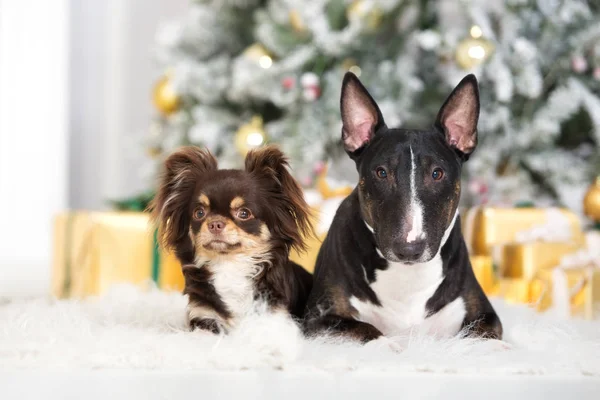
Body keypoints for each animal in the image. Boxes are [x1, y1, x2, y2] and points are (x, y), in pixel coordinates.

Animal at [150, 145, 314, 332]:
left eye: (244, 213)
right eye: (199, 213)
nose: (215, 223)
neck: (229, 263)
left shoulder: (273, 316)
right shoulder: (204, 317)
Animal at [304, 72, 502, 344]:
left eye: (437, 173)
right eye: (381, 172)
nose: (409, 249)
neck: (407, 277)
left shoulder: (485, 314)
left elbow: (481, 335)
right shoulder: (318, 320)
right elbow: (366, 329)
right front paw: (392, 346)